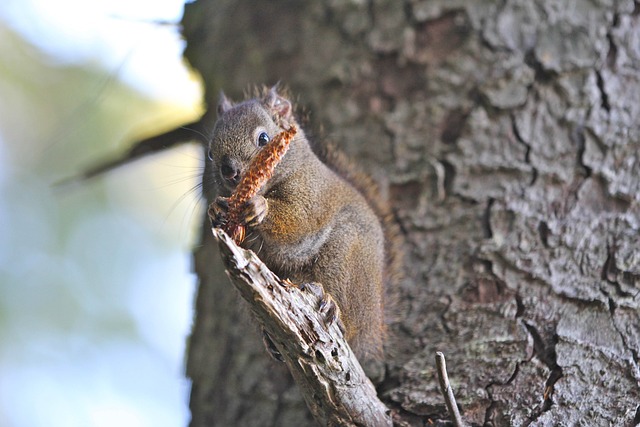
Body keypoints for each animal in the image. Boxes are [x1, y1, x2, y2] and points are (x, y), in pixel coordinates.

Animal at [202, 87, 400, 364]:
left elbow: (299, 220)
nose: (229, 171)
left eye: (263, 138)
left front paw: (260, 207)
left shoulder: (313, 194)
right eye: (210, 152)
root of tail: (372, 327)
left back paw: (334, 309)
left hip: (345, 257)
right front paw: (216, 210)